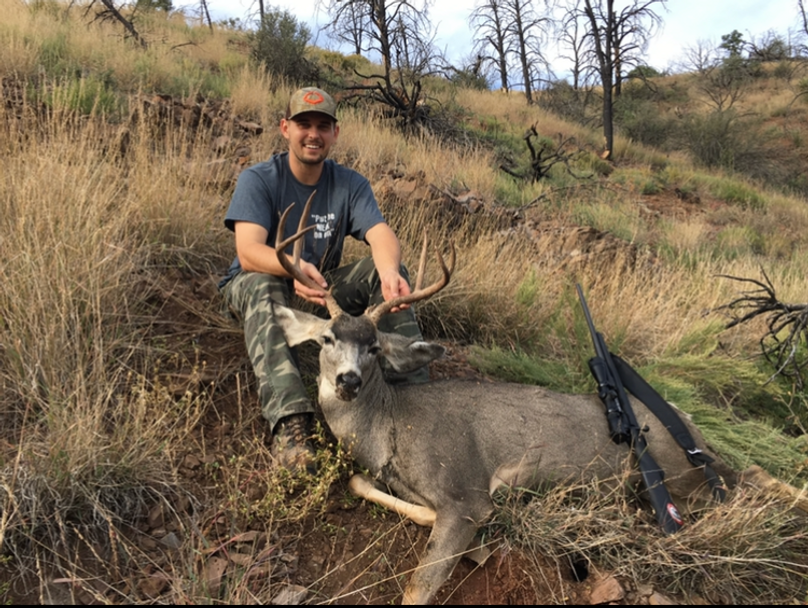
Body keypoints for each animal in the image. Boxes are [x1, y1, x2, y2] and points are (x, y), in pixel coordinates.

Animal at [269, 195, 800, 605]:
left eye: (376, 347)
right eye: (328, 338)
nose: (349, 381)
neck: (392, 429)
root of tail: (688, 419)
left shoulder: (464, 492)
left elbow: (418, 587)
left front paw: (478, 543)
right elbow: (358, 482)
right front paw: (472, 542)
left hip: (678, 470)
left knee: (745, 479)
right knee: (748, 473)